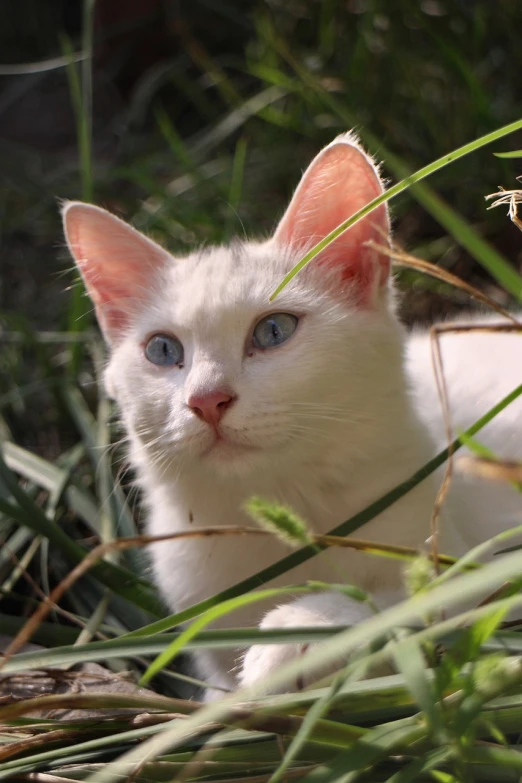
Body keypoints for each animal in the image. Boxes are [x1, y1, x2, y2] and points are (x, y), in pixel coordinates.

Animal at [62, 133, 520, 700]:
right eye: (163, 350)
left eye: (273, 331)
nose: (206, 399)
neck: (280, 508)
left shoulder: (470, 565)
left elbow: (413, 605)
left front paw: (300, 631)